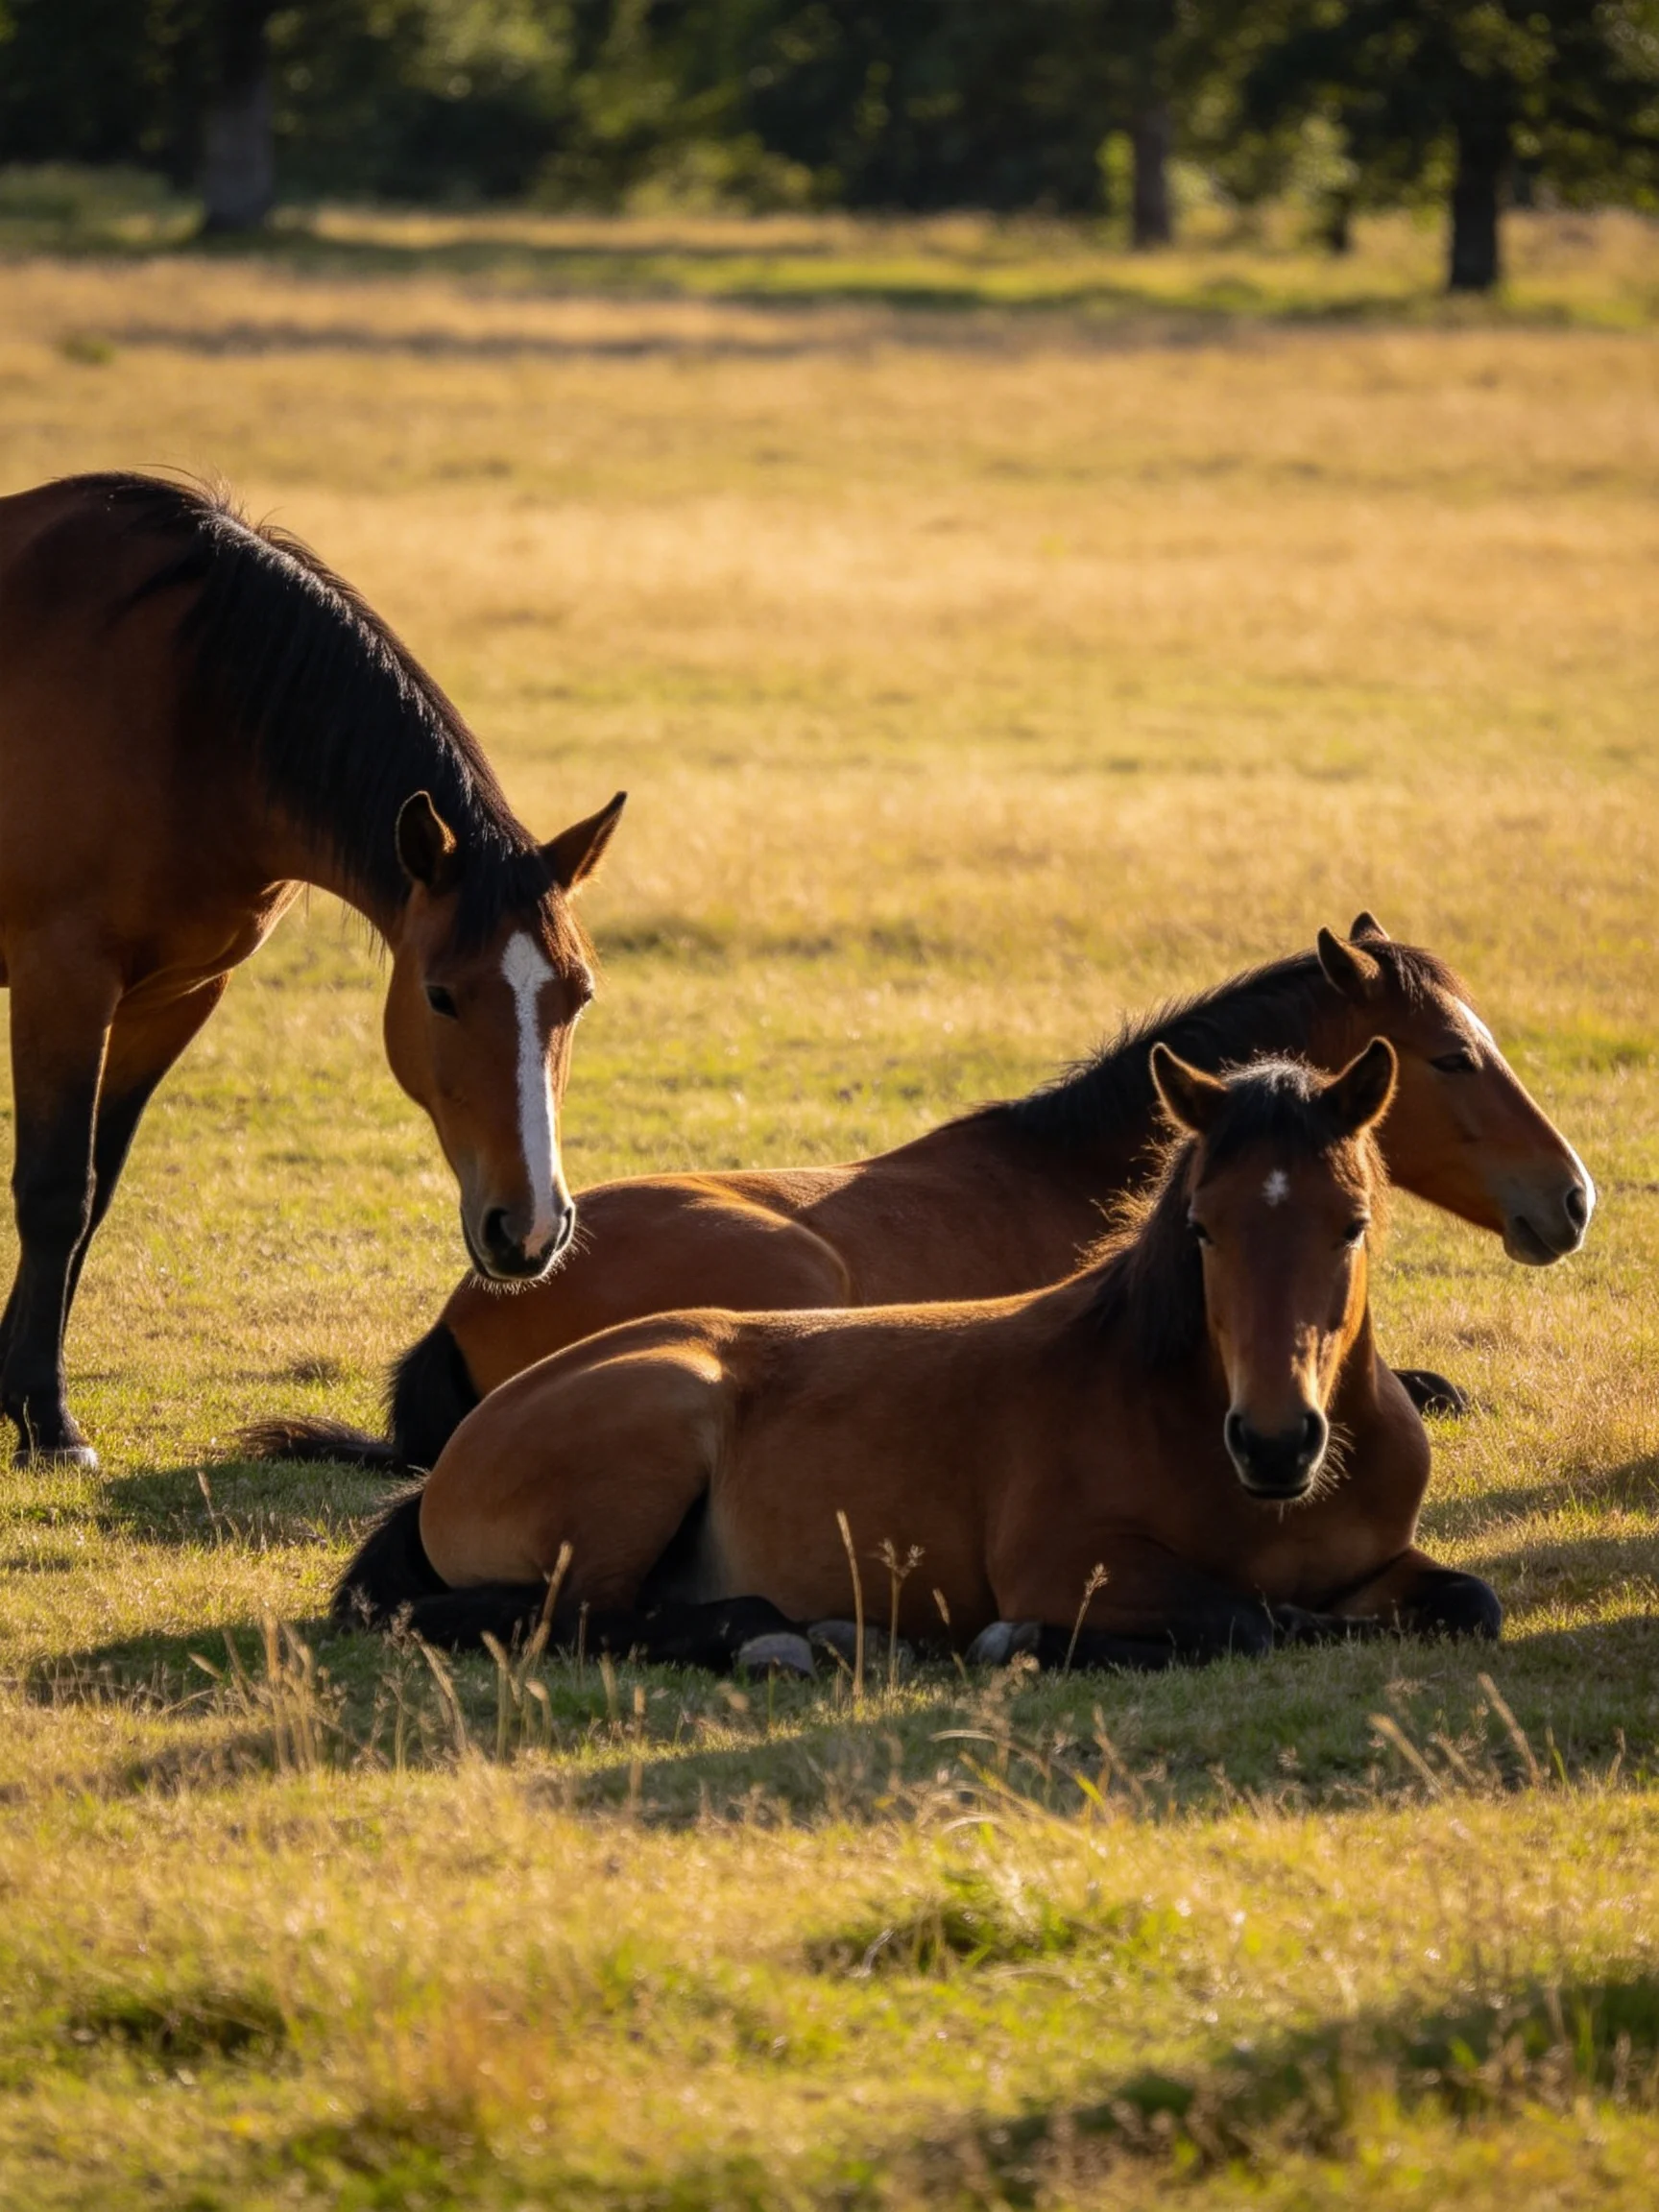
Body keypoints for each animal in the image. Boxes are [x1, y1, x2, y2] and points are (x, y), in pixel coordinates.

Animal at [0, 471, 625, 1466]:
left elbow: (95, 1190)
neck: (185, 706)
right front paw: (47, 1419)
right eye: (440, 996)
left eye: (581, 997)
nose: (527, 1230)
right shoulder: (64, 977)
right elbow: (57, 1191)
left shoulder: (172, 997)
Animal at [332, 1042, 1501, 1673]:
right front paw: (1012, 1643)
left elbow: (1471, 1605)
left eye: (1353, 1225)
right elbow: (1248, 1623)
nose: (1274, 1442)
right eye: (1204, 1228)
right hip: (657, 1422)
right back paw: (777, 1638)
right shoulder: (1072, 1565)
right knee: (567, 1619)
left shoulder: (1388, 1564)